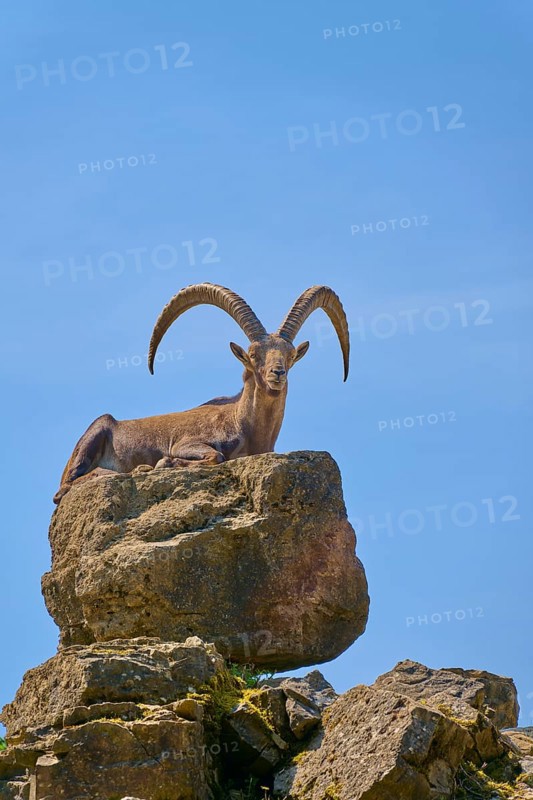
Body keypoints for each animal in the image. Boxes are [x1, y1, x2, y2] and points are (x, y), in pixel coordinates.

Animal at [53, 283, 349, 504]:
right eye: (254, 355)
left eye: (290, 355)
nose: (278, 373)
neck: (244, 425)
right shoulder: (187, 442)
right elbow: (216, 456)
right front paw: (165, 463)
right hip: (95, 433)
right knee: (65, 488)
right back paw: (134, 469)